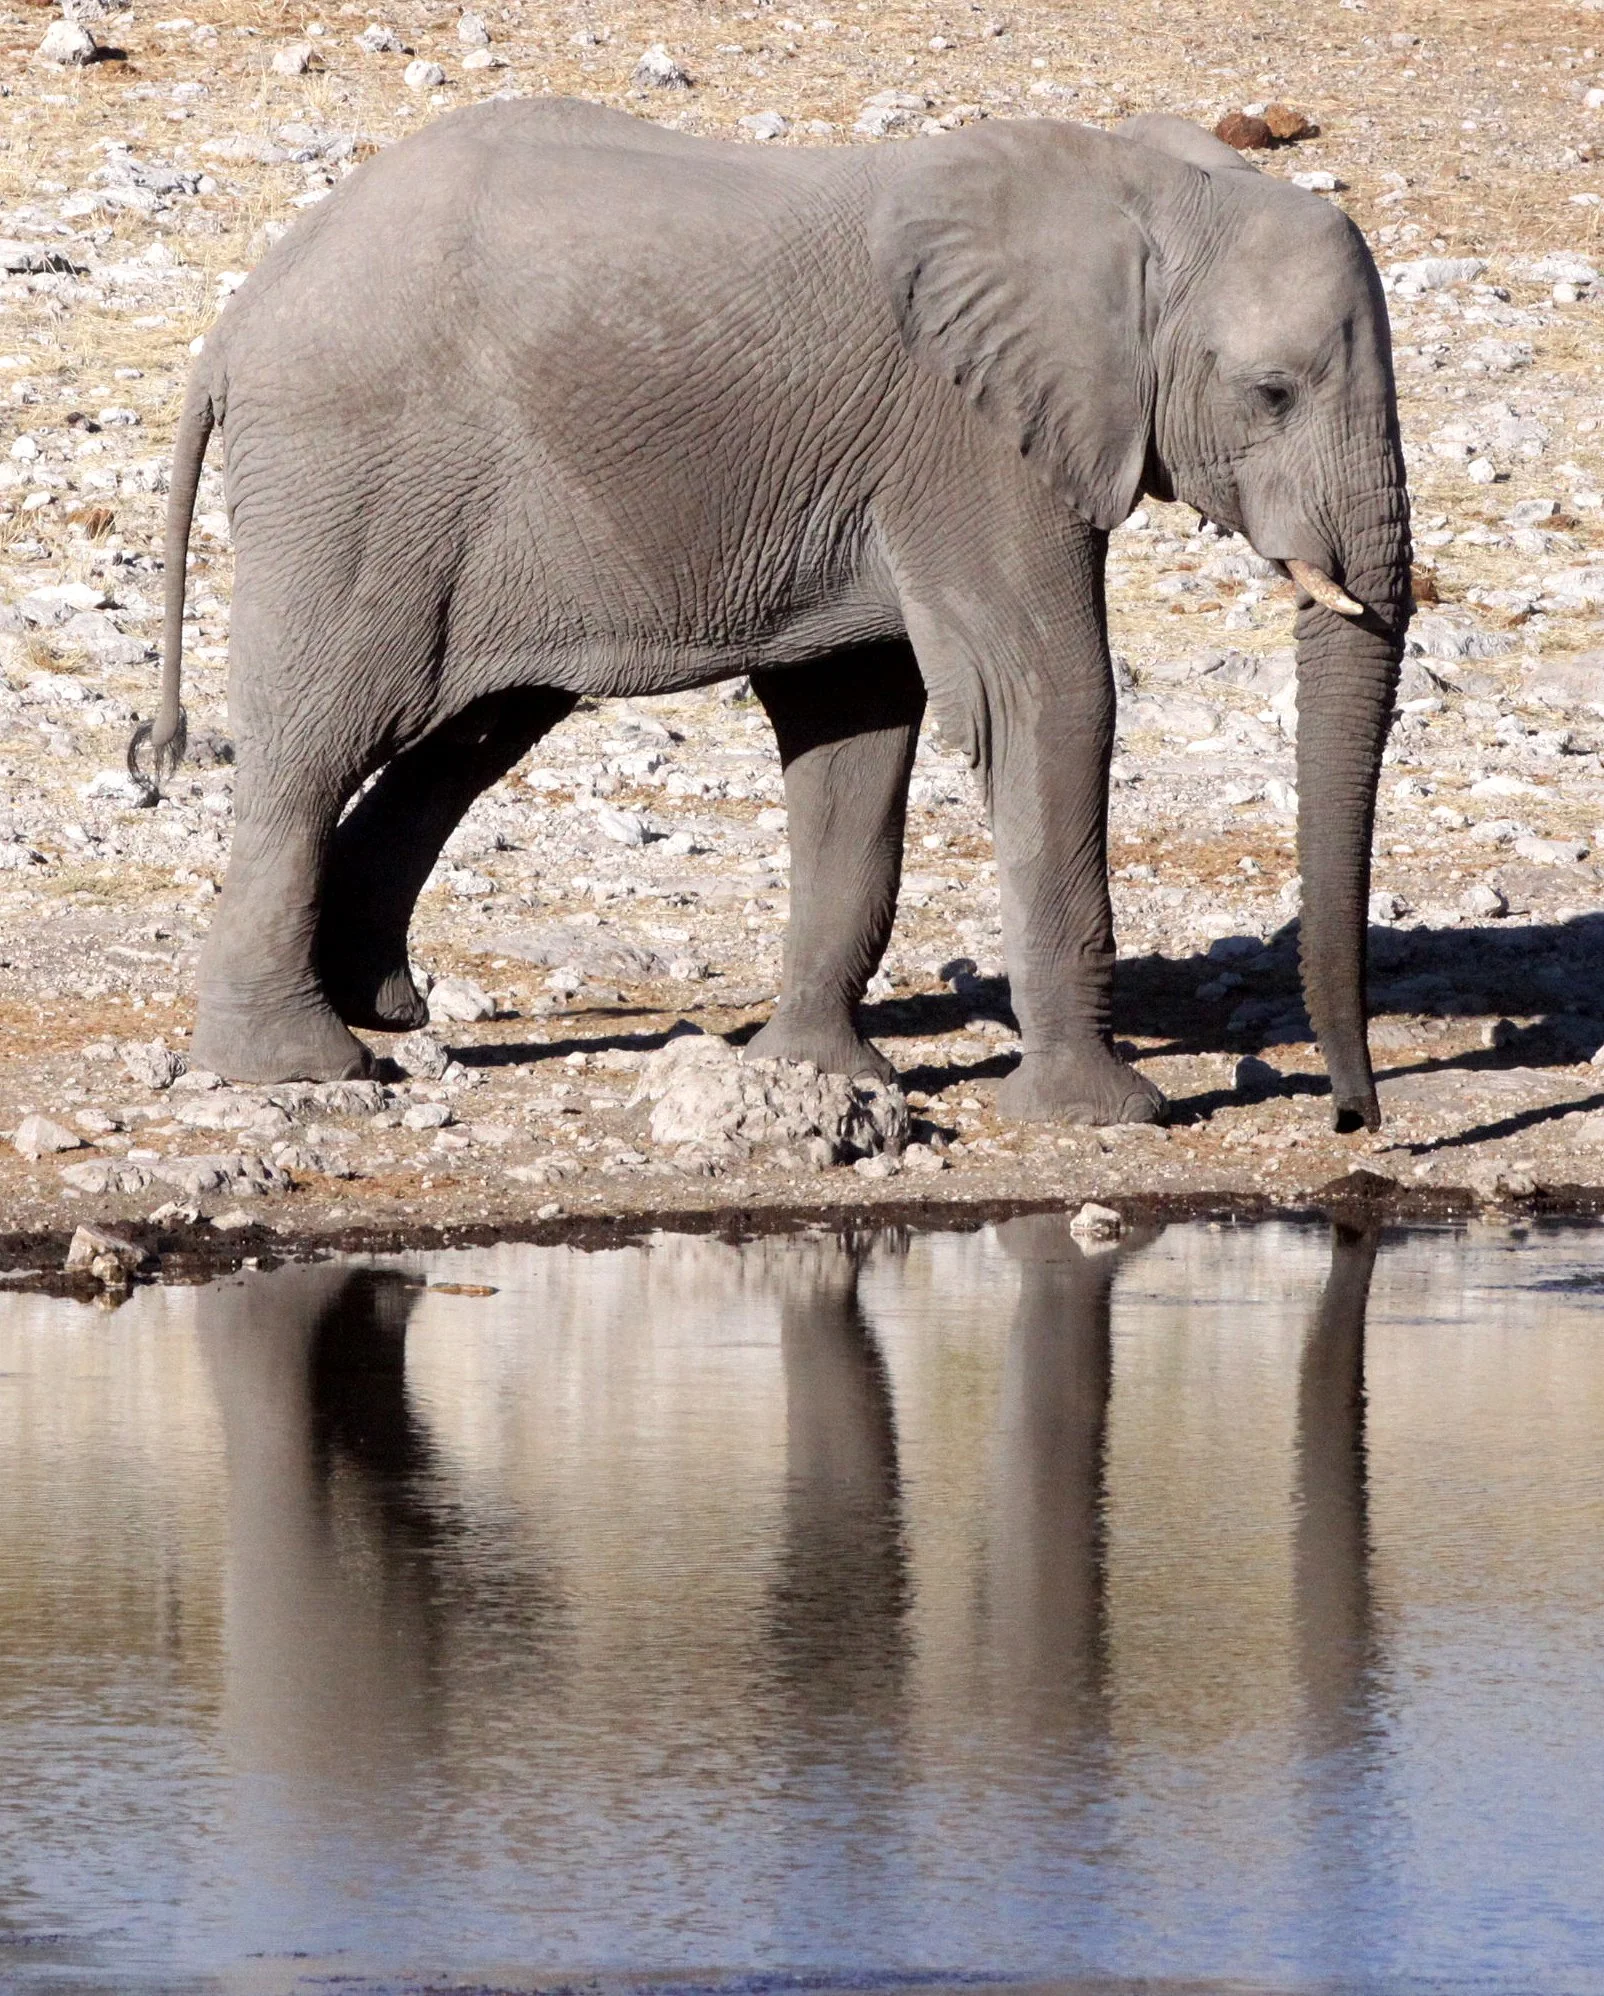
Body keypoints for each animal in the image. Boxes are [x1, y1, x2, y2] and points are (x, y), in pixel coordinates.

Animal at [133, 97, 1410, 1128]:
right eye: (1270, 393)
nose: (1352, 1117)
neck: (1141, 190)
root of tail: (236, 324)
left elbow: (856, 726)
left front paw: (815, 1075)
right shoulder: (968, 440)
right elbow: (1047, 697)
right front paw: (1102, 1117)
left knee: (469, 730)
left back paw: (383, 1011)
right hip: (353, 476)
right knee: (323, 741)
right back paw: (304, 1068)